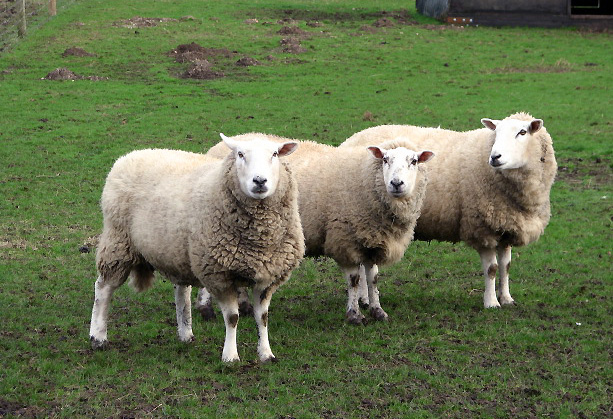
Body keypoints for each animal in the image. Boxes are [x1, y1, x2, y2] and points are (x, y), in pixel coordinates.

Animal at [88, 135, 304, 364]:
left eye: (274, 154)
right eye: (240, 154)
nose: (260, 181)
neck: (259, 240)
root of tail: (130, 155)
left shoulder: (268, 276)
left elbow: (262, 318)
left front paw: (266, 353)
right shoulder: (219, 275)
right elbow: (232, 318)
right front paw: (230, 356)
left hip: (177, 253)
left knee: (181, 292)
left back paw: (185, 333)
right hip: (118, 244)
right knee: (103, 288)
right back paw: (98, 337)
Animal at [203, 135, 432, 324]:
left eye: (414, 161)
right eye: (385, 160)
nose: (396, 183)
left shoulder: (372, 240)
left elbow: (373, 278)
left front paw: (378, 311)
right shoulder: (344, 239)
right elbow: (354, 280)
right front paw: (354, 315)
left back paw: (243, 305)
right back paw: (205, 308)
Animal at [342, 111, 556, 308]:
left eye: (522, 132)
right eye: (496, 132)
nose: (495, 157)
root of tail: (349, 140)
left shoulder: (506, 227)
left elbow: (506, 266)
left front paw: (506, 298)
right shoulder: (481, 228)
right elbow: (492, 269)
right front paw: (491, 302)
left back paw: (363, 299)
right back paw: (364, 299)